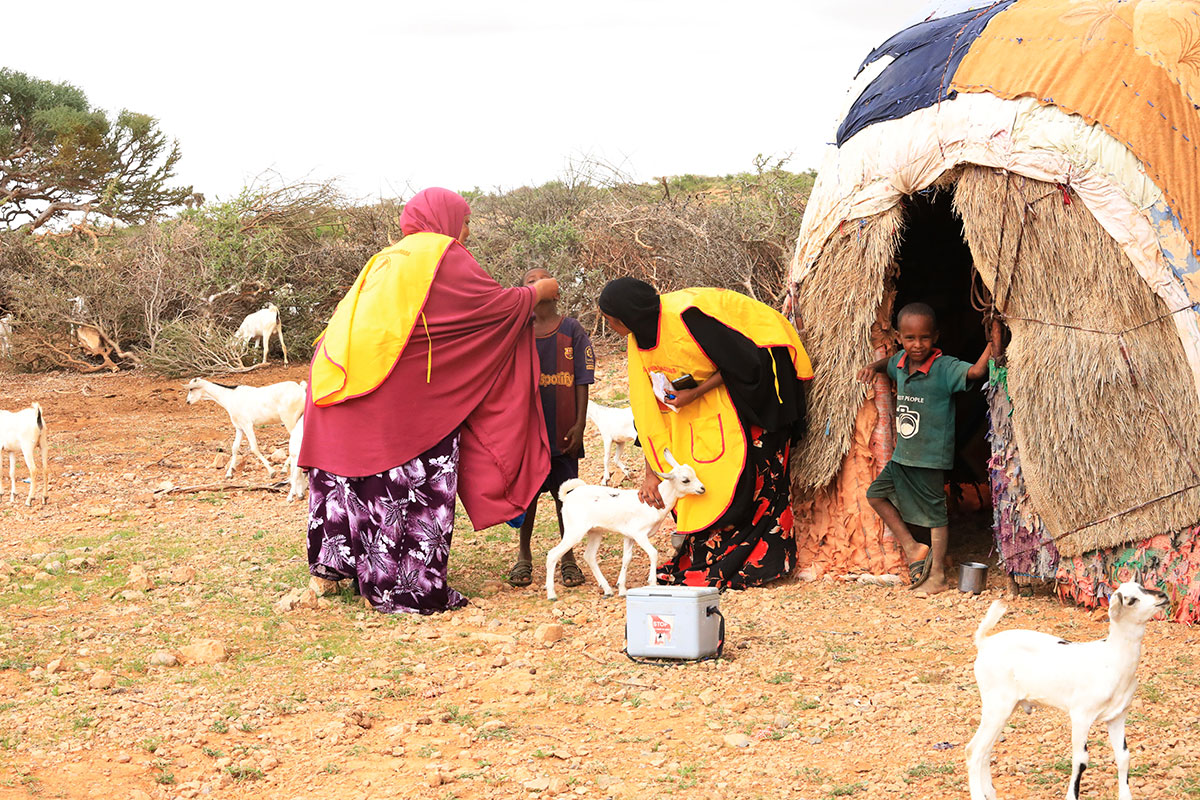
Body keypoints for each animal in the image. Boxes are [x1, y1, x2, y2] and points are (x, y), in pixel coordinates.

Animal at [549, 450, 705, 599]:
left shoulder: (629, 536)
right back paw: (551, 595)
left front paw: (622, 589)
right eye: (685, 480)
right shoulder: (639, 534)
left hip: (595, 532)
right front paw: (652, 583)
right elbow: (653, 553)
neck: (653, 503)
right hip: (574, 531)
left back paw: (607, 590)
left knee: (589, 556)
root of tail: (567, 497)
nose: (702, 488)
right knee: (553, 554)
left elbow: (626, 559)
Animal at [964, 582, 1171, 800]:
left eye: (1142, 586)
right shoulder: (1081, 715)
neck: (1112, 659)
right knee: (974, 750)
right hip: (996, 704)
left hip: (1005, 707)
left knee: (986, 750)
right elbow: (1081, 760)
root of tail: (984, 642)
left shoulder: (1118, 715)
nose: (1162, 596)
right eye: (1131, 600)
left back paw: (990, 792)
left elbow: (1123, 756)